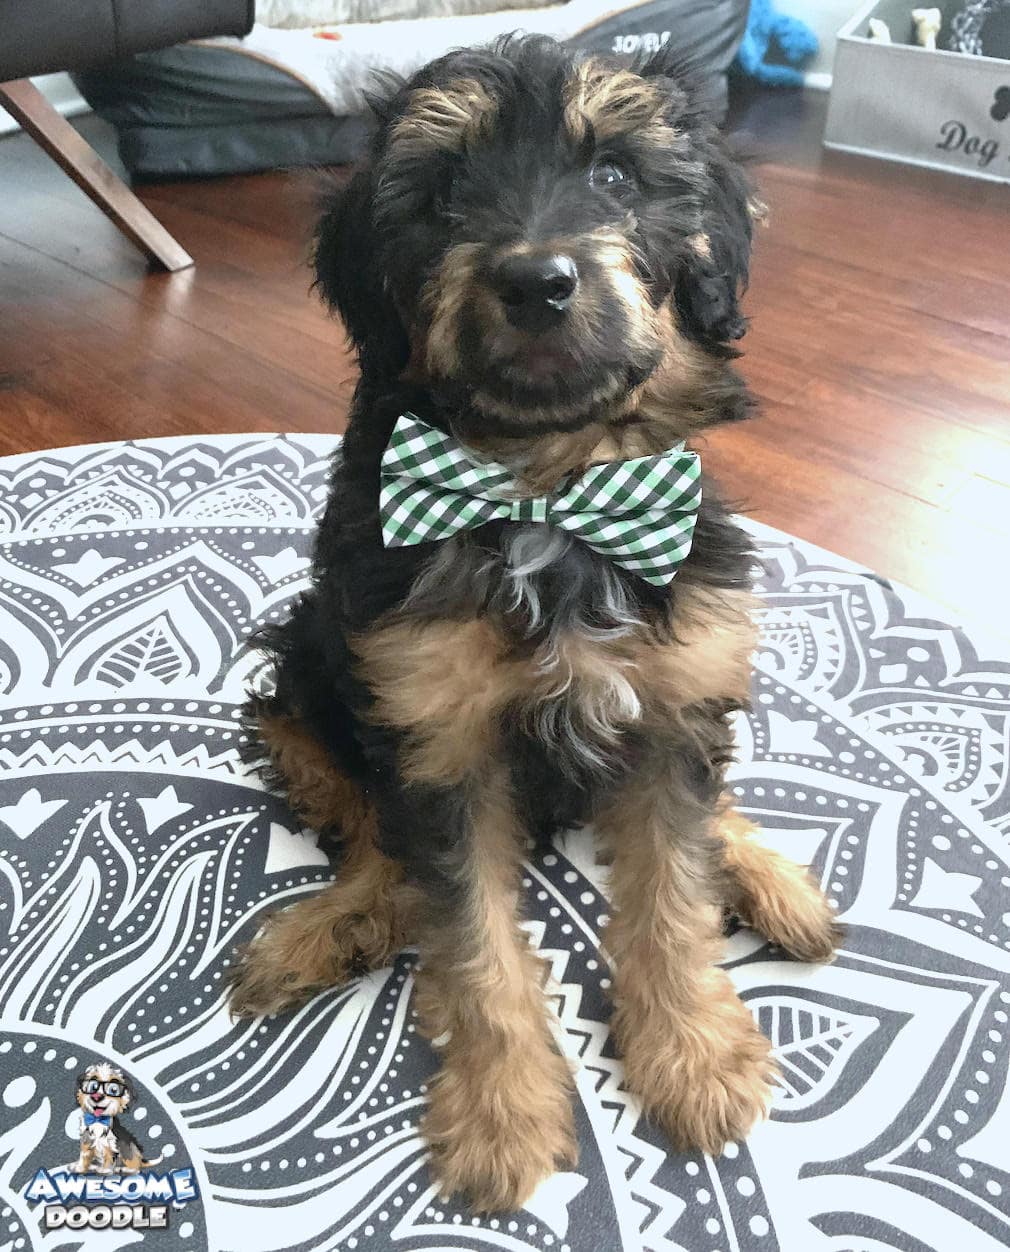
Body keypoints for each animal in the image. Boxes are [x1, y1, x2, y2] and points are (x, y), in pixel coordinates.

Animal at [226, 34, 836, 1211]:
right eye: (443, 193)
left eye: (615, 175)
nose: (536, 279)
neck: (548, 489)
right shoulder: (435, 735)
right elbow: (472, 938)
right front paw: (501, 1116)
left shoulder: (672, 696)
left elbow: (672, 884)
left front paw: (693, 1056)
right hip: (315, 657)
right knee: (350, 801)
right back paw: (333, 921)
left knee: (717, 796)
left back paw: (771, 880)